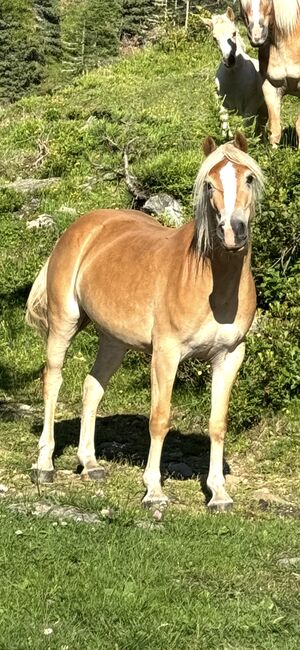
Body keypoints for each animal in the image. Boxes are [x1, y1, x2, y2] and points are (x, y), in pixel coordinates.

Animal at [27, 134, 264, 508]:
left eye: (249, 178)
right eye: (209, 184)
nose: (232, 232)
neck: (212, 284)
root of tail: (81, 228)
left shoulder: (229, 357)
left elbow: (217, 423)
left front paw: (219, 494)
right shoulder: (166, 354)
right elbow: (159, 419)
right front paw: (154, 491)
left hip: (114, 341)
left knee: (92, 388)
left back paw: (91, 464)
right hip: (63, 322)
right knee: (53, 381)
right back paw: (44, 465)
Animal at [204, 7, 268, 137]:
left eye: (234, 33)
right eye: (214, 38)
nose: (229, 60)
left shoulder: (249, 108)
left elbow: (244, 128)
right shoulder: (222, 103)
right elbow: (224, 123)